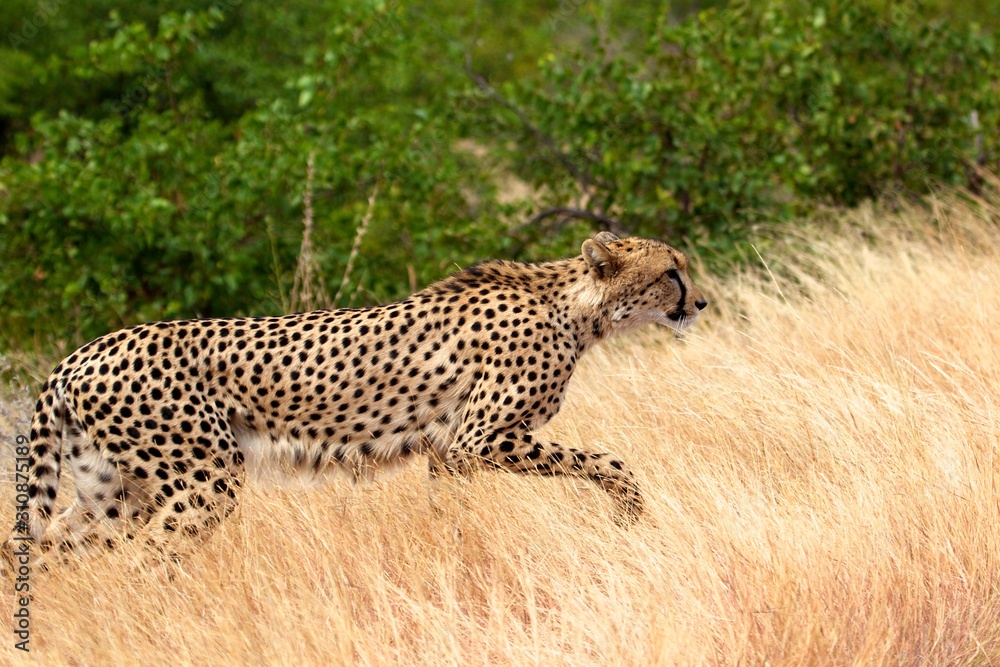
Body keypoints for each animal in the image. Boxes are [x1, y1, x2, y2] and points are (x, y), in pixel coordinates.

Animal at [10, 231, 707, 567]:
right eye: (670, 270)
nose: (699, 302)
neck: (577, 307)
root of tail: (81, 353)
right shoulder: (482, 438)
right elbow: (609, 460)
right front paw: (631, 512)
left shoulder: (449, 453)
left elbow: (451, 514)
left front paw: (452, 559)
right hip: (206, 478)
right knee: (149, 560)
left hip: (111, 494)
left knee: (44, 550)